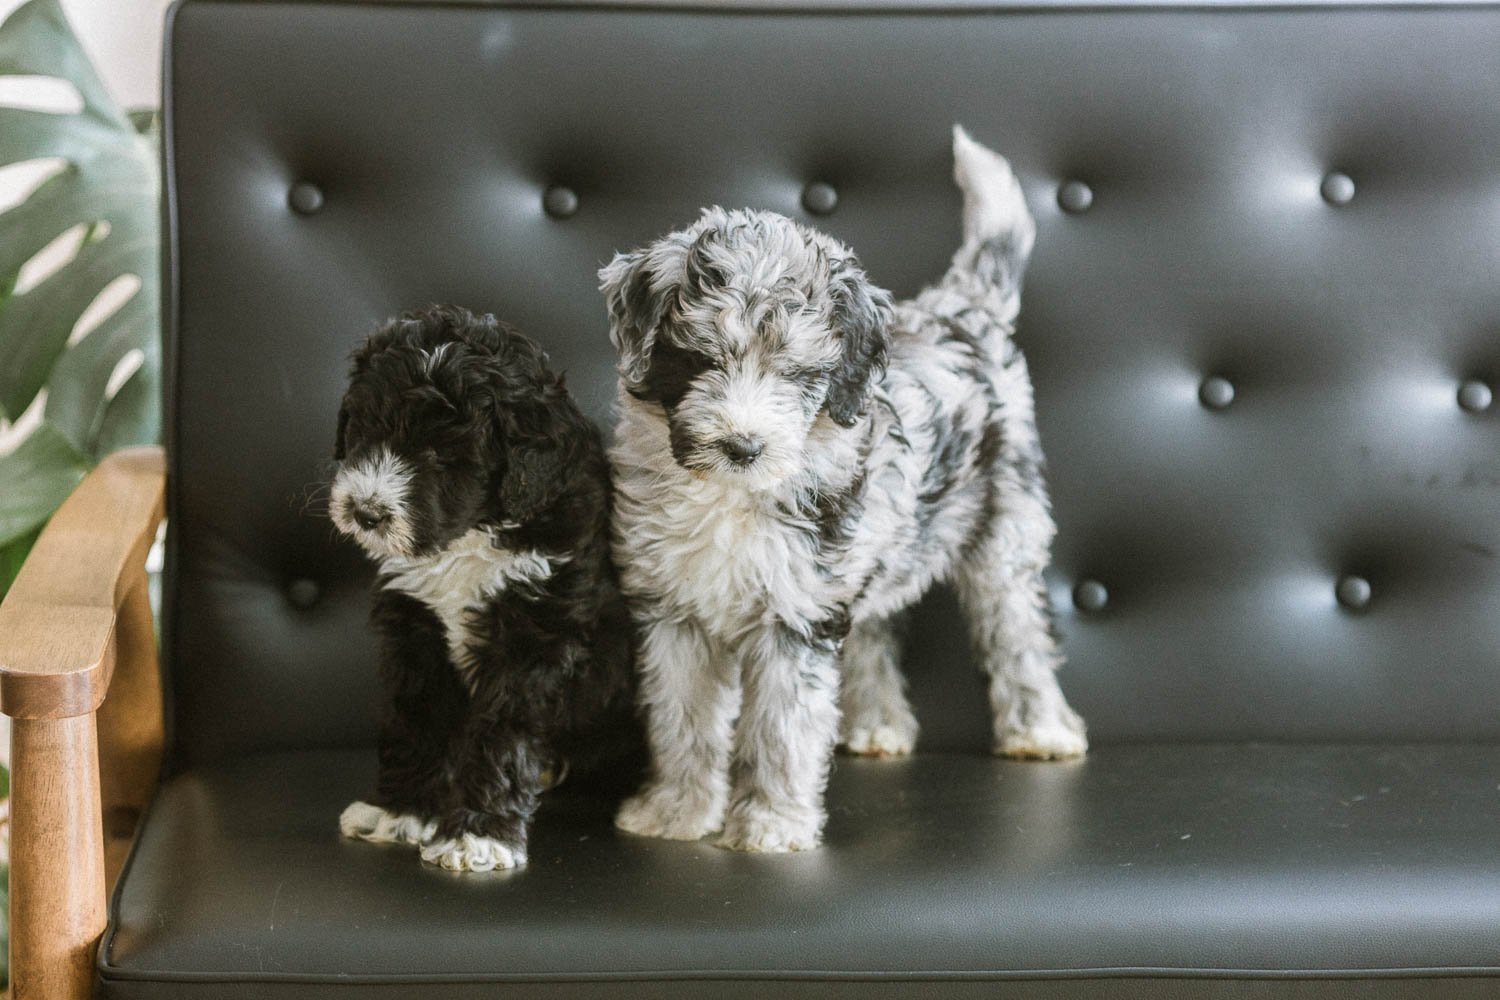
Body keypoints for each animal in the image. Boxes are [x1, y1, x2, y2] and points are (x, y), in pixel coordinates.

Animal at [328, 302, 633, 869]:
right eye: (367, 429)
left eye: (442, 455)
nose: (366, 513)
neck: (471, 535)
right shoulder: (417, 629)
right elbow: (415, 719)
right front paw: (399, 810)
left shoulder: (535, 634)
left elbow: (501, 733)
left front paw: (478, 834)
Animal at [600, 128, 1092, 857]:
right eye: (701, 359)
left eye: (797, 374)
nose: (742, 446)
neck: (730, 496)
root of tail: (963, 311)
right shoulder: (676, 613)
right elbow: (681, 719)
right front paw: (675, 813)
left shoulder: (795, 613)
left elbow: (780, 727)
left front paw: (770, 825)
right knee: (876, 628)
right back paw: (876, 727)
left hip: (1006, 524)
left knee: (1018, 628)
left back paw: (1042, 731)